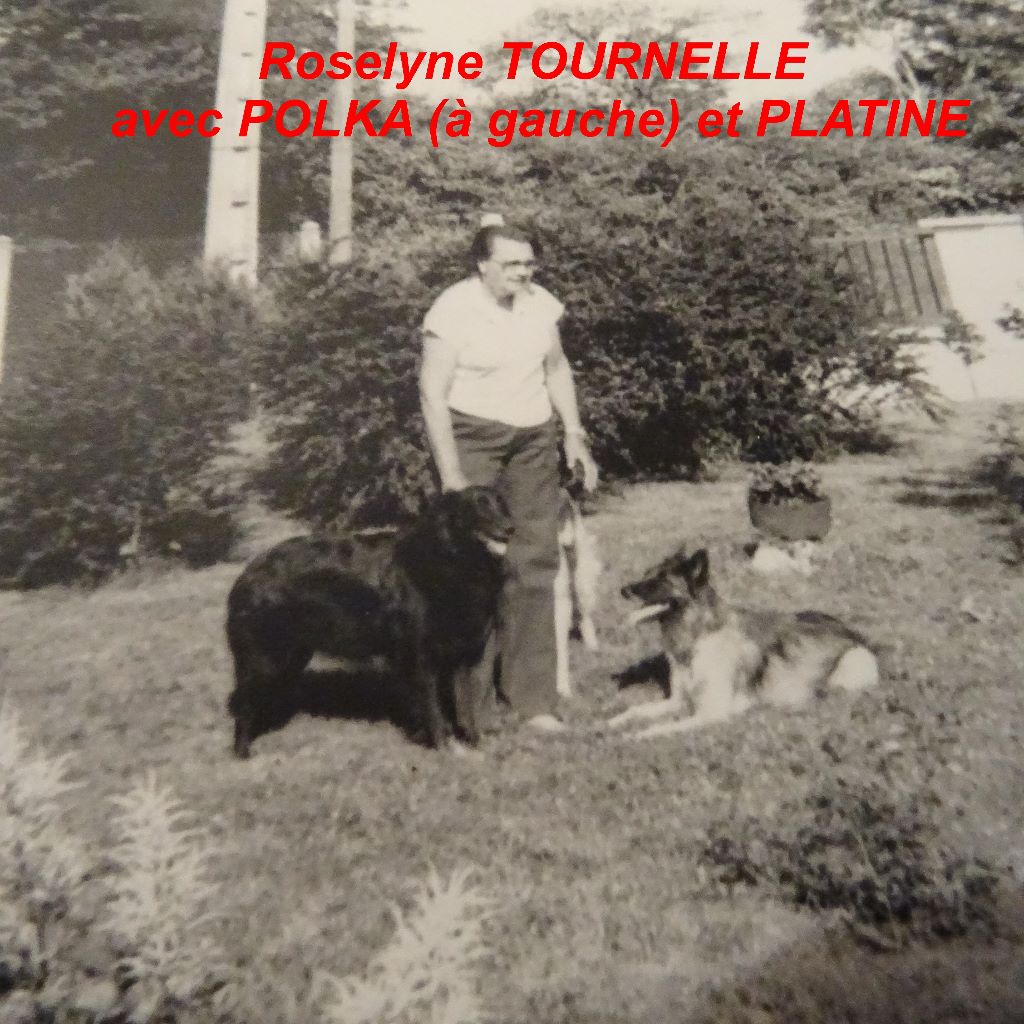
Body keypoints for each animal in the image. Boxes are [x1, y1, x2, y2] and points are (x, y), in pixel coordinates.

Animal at [225, 486, 513, 758]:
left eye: (500, 502)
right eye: (479, 505)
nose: (510, 529)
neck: (450, 557)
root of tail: (248, 572)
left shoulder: (461, 658)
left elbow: (466, 706)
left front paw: (473, 742)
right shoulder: (420, 660)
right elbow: (434, 712)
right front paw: (445, 749)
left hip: (292, 657)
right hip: (266, 659)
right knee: (243, 704)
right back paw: (243, 753)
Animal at [610, 546, 878, 738]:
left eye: (662, 579)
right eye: (647, 574)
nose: (623, 590)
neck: (697, 637)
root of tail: (853, 633)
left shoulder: (711, 712)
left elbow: (661, 727)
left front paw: (634, 736)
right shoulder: (676, 700)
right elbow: (636, 709)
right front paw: (613, 721)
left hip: (849, 665)